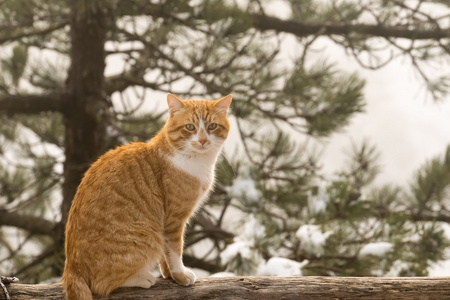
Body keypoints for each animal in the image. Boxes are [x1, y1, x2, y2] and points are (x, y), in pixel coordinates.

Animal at [63, 94, 232, 300]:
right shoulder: (174, 220)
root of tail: (71, 268)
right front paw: (180, 276)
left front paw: (168, 275)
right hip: (147, 236)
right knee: (100, 285)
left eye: (212, 126)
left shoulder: (165, 224)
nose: (202, 140)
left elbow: (166, 255)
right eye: (190, 127)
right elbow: (175, 250)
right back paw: (143, 278)